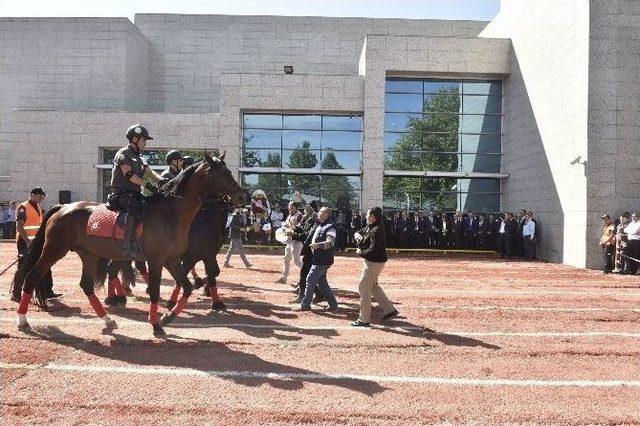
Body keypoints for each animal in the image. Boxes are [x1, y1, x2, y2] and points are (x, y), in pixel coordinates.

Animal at [15, 153, 246, 336]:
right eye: (223, 173)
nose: (243, 195)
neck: (171, 213)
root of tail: (62, 207)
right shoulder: (158, 260)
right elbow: (156, 290)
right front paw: (156, 324)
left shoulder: (174, 260)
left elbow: (188, 287)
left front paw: (168, 317)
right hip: (54, 249)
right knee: (33, 276)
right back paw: (23, 320)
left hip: (88, 253)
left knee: (88, 284)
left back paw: (108, 319)